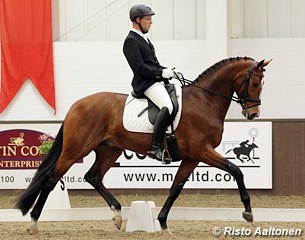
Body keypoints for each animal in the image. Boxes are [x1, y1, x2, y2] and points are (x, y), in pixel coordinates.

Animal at [15, 55, 270, 232]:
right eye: (255, 84)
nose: (253, 114)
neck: (205, 101)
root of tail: (76, 106)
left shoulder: (192, 157)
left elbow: (176, 187)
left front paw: (163, 222)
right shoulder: (202, 151)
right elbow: (236, 170)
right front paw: (248, 211)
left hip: (110, 149)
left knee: (93, 176)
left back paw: (118, 215)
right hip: (75, 150)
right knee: (51, 179)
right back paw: (34, 223)